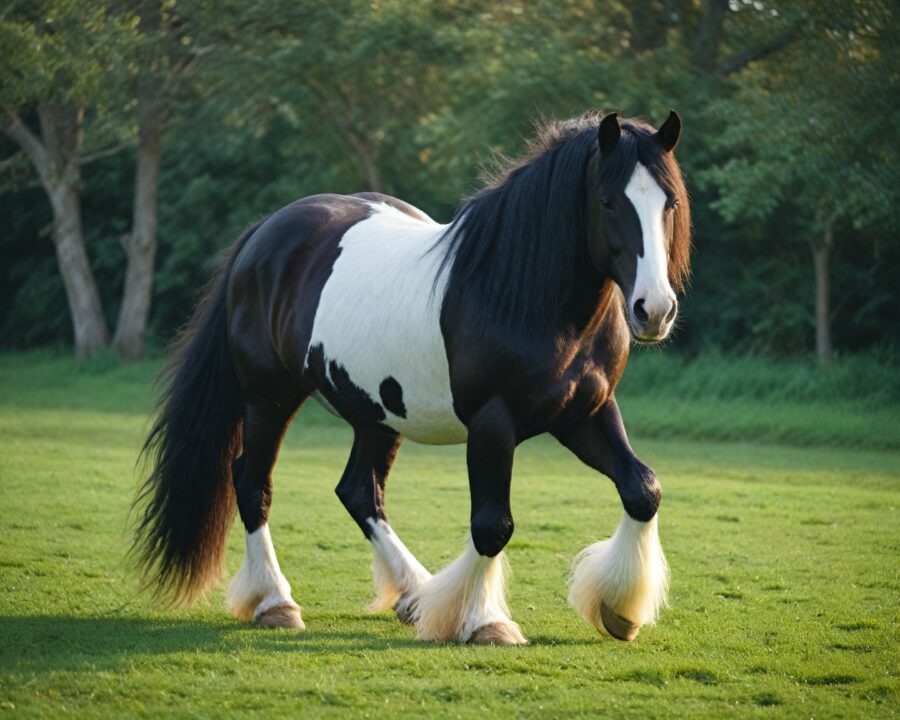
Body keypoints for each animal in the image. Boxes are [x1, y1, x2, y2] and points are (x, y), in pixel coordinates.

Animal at [132, 110, 691, 645]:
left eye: (668, 203)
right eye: (608, 202)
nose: (654, 310)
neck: (521, 293)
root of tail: (266, 231)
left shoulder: (586, 413)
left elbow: (642, 488)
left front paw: (619, 611)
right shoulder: (493, 422)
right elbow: (492, 524)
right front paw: (485, 622)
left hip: (376, 414)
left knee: (359, 491)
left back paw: (414, 595)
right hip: (269, 398)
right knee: (253, 483)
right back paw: (276, 603)